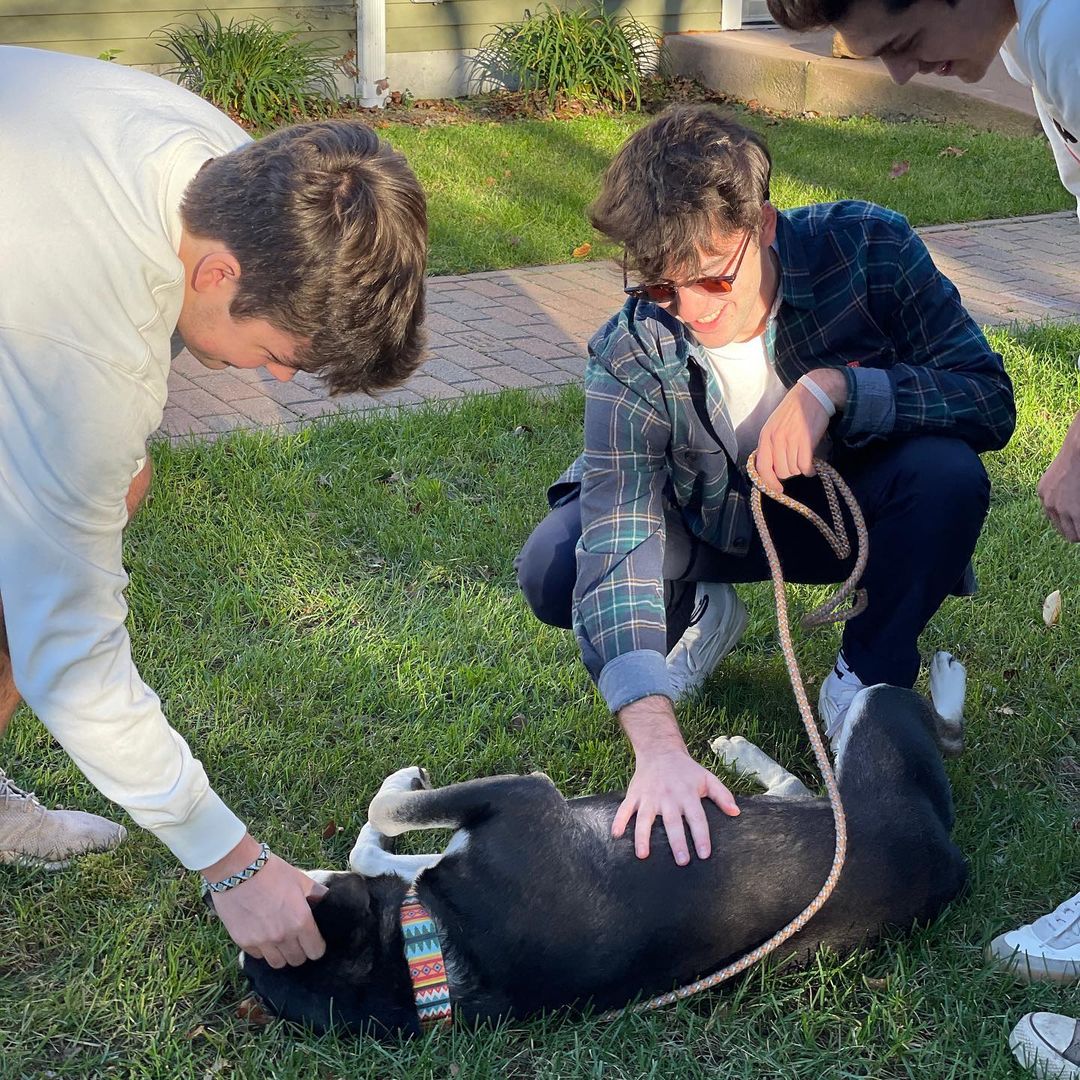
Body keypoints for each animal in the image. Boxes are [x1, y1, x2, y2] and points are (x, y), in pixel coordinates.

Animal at [243, 648, 972, 1036]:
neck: (435, 958)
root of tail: (949, 860)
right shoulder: (506, 821)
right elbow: (383, 832)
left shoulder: (518, 800)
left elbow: (383, 814)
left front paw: (395, 789)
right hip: (874, 749)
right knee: (904, 742)